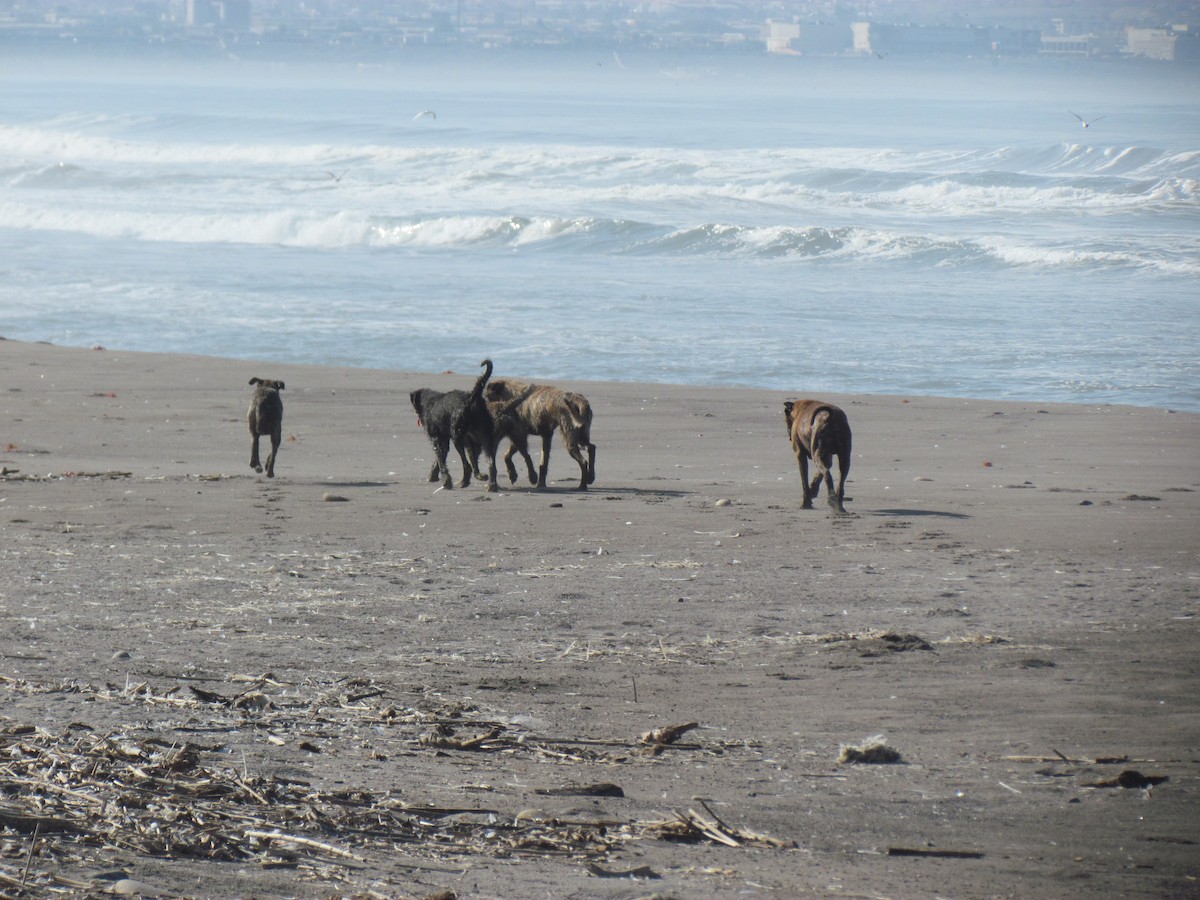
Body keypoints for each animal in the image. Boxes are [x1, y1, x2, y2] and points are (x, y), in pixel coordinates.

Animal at [410, 360, 499, 494]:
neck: (429, 402)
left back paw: (464, 482)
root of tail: (472, 398)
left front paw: (446, 482)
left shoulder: (436, 439)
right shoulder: (444, 440)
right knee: (490, 463)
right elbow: (439, 459)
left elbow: (441, 461)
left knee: (467, 465)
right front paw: (433, 475)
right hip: (483, 436)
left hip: (458, 437)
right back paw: (490, 484)